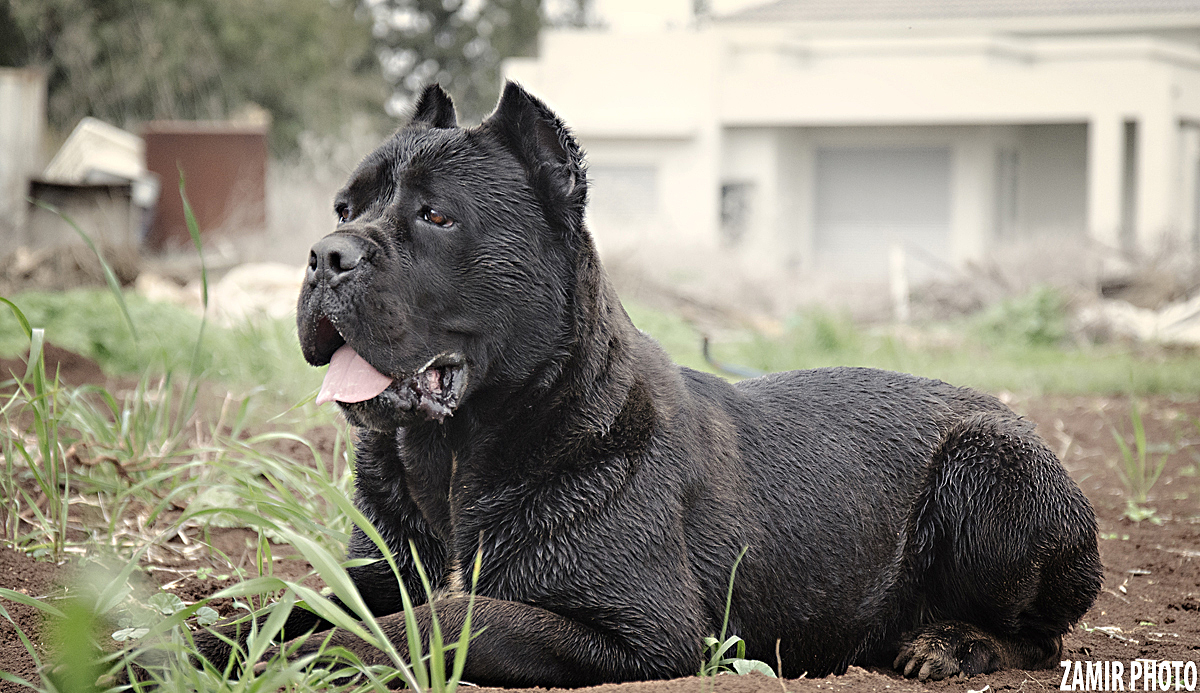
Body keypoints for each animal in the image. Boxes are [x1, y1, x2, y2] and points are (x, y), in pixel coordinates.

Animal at [194, 83, 1099, 681]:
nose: (326, 254)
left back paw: (948, 643)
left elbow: (436, 619)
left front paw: (305, 659)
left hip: (990, 473)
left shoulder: (641, 631)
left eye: (437, 216)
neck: (454, 456)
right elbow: (285, 599)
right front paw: (186, 643)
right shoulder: (378, 571)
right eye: (345, 208)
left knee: (1041, 637)